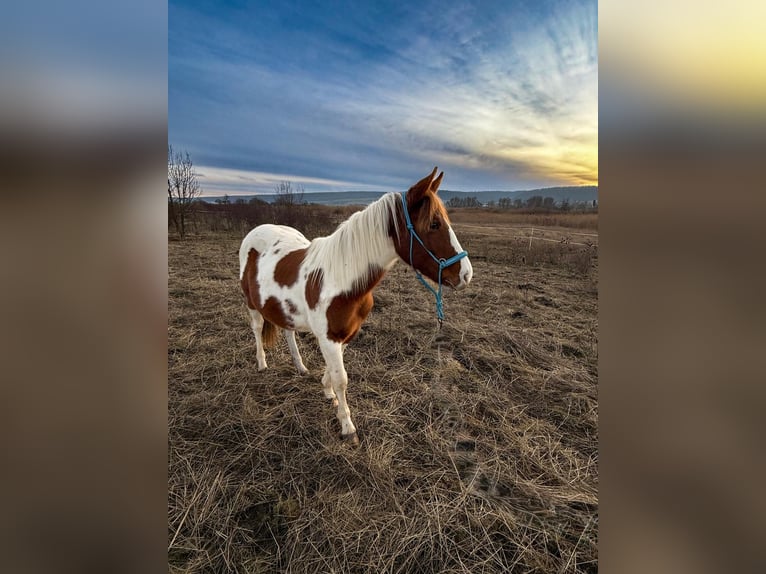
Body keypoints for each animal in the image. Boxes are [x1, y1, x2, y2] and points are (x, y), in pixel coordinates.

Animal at [238, 167, 473, 445]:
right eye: (434, 224)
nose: (466, 274)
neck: (340, 277)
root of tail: (257, 231)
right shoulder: (329, 337)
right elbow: (341, 379)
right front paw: (347, 426)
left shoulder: (346, 334)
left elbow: (334, 370)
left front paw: (327, 391)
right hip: (251, 303)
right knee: (257, 328)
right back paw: (262, 364)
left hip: (285, 309)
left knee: (288, 331)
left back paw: (300, 367)